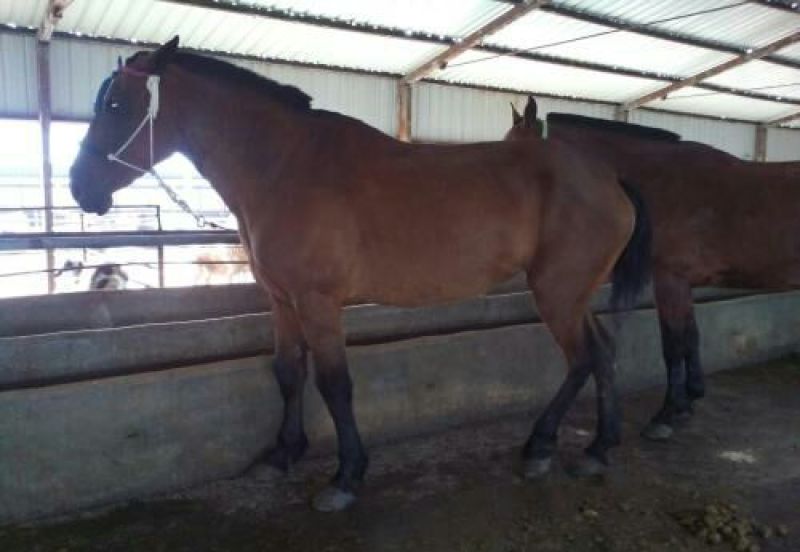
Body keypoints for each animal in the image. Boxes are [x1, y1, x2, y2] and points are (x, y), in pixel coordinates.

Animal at [69, 37, 650, 512]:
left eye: (116, 104)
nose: (79, 187)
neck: (284, 168)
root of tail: (609, 178)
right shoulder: (281, 300)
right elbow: (288, 372)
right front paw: (282, 455)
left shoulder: (319, 302)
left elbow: (334, 383)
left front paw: (345, 477)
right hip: (573, 295)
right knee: (603, 353)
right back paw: (597, 447)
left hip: (557, 293)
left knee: (583, 358)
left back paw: (544, 448)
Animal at [507, 96, 800, 442]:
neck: (661, 182)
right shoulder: (681, 283)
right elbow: (690, 338)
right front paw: (689, 399)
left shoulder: (670, 279)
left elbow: (673, 345)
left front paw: (666, 415)